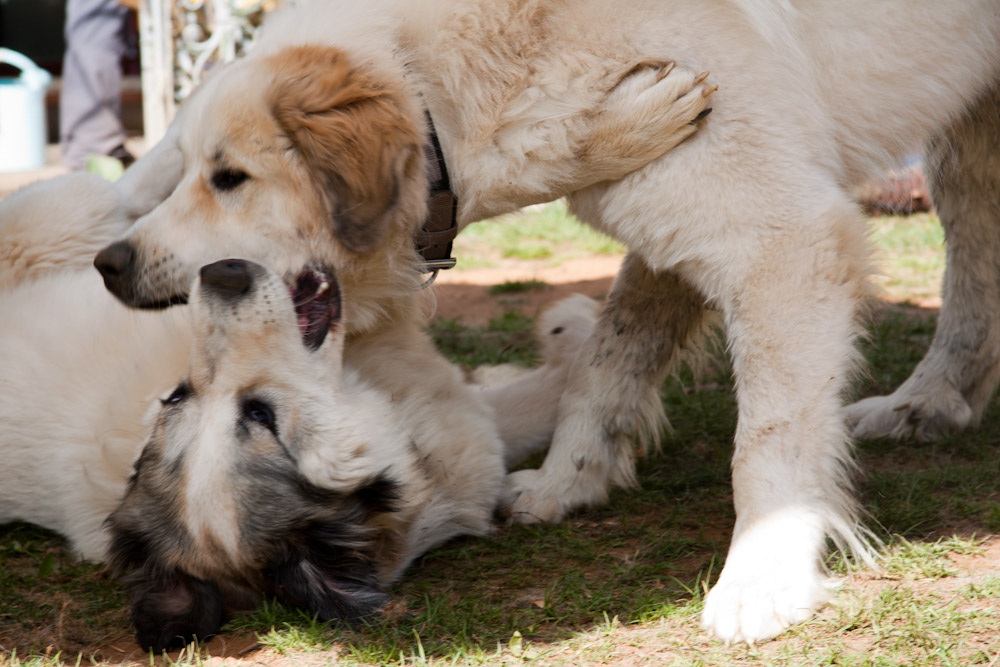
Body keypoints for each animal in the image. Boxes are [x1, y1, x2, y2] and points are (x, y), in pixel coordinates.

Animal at [88, 0, 1000, 648]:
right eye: (184, 168)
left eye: (230, 177)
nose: (110, 264)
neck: (449, 86)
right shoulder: (671, 225)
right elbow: (612, 359)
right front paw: (570, 481)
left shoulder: (780, 239)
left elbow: (765, 440)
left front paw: (762, 579)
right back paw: (927, 403)